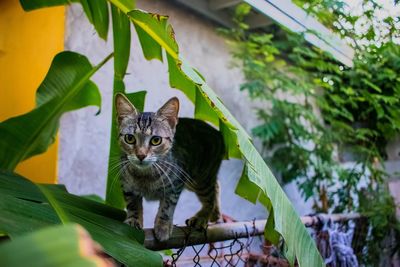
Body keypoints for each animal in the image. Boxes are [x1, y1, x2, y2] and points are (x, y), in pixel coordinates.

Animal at [115, 94, 225, 243]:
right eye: (130, 138)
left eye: (156, 140)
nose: (141, 155)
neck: (145, 176)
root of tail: (218, 133)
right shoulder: (127, 186)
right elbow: (132, 204)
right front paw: (133, 220)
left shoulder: (176, 185)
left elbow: (167, 207)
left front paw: (163, 226)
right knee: (216, 185)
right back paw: (215, 214)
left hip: (200, 179)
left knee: (210, 196)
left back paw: (202, 217)